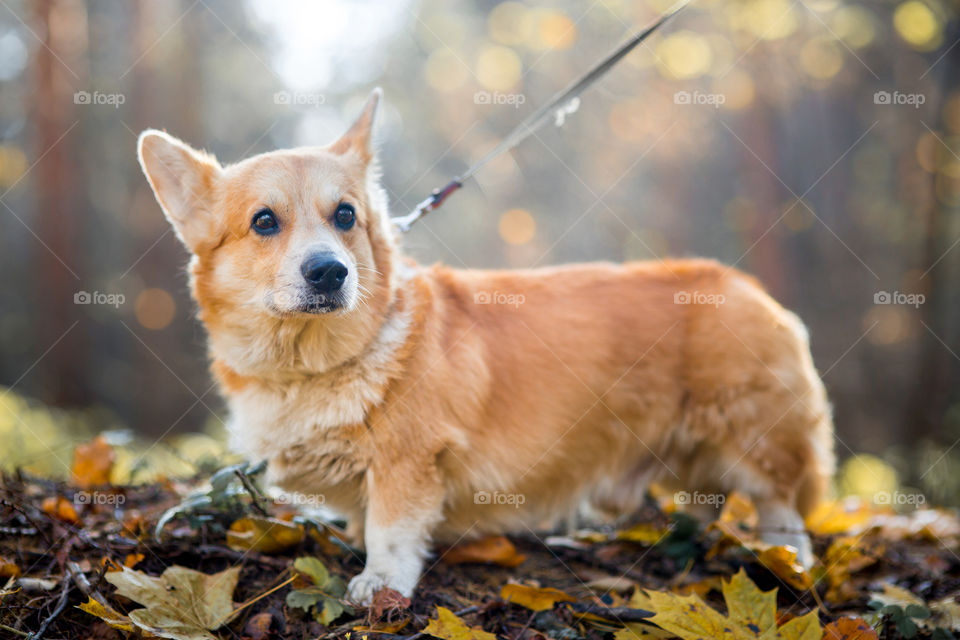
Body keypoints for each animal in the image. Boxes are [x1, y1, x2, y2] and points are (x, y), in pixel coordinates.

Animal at [139, 87, 836, 604]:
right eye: (264, 221)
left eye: (345, 216)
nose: (331, 272)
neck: (313, 361)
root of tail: (745, 284)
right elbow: (364, 521)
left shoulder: (409, 463)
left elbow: (391, 530)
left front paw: (379, 584)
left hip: (757, 439)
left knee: (781, 510)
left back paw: (788, 563)